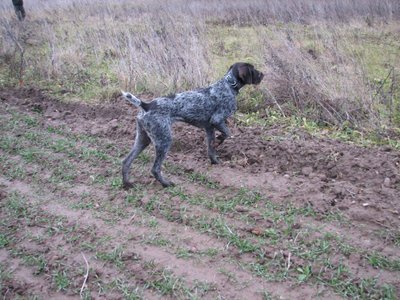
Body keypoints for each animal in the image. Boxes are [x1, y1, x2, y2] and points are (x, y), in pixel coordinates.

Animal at [120, 61, 264, 188]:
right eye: (253, 69)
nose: (263, 74)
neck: (228, 85)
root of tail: (147, 105)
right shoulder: (217, 120)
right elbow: (227, 134)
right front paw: (219, 141)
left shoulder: (209, 128)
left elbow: (211, 148)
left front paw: (215, 161)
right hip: (163, 140)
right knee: (155, 169)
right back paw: (166, 184)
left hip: (143, 139)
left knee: (126, 161)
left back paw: (127, 184)